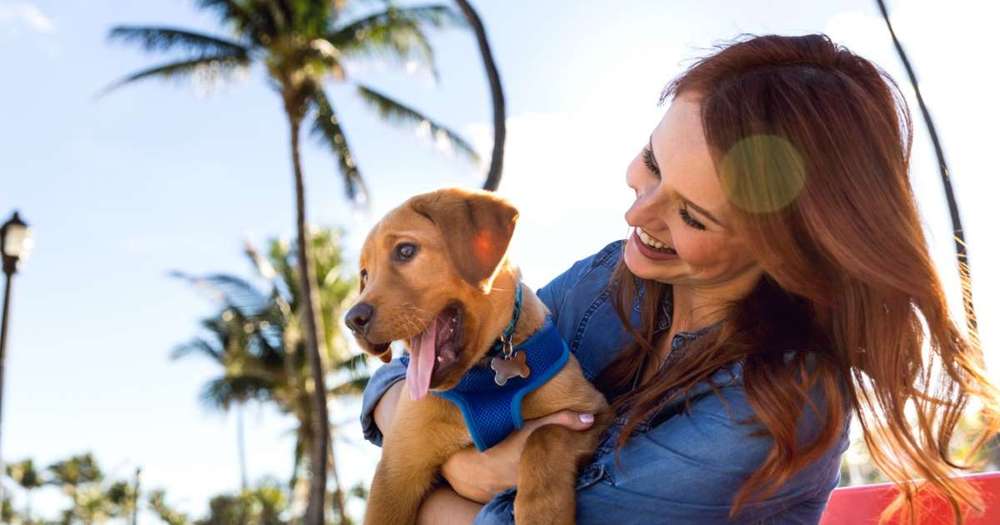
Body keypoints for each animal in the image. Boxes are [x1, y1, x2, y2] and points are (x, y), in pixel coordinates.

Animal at [345, 188, 611, 525]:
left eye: (405, 251)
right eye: (365, 276)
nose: (352, 320)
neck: (483, 370)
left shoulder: (592, 411)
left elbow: (544, 436)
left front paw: (542, 511)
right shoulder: (396, 472)